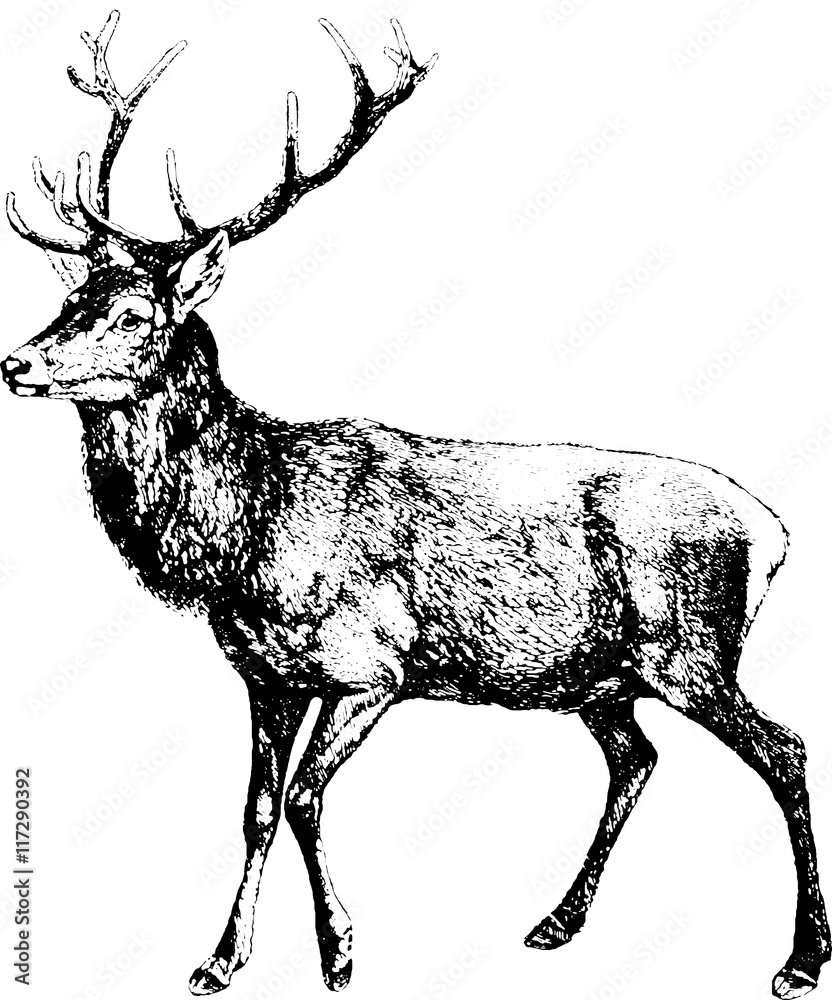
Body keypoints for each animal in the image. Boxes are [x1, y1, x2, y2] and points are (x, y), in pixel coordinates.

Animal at [2, 9, 828, 999]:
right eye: (70, 298)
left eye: (131, 314)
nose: (16, 362)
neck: (243, 539)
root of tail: (775, 530)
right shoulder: (266, 675)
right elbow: (256, 808)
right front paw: (218, 961)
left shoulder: (372, 665)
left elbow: (305, 796)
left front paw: (339, 953)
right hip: (604, 676)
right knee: (637, 756)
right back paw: (558, 922)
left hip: (691, 648)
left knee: (784, 748)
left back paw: (799, 958)